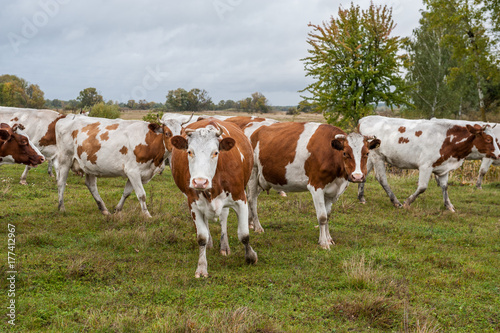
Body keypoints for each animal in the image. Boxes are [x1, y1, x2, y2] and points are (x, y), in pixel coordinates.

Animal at [55, 115, 184, 217]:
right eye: (167, 133)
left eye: (182, 134)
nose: (180, 147)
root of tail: (66, 117)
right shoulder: (133, 171)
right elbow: (141, 195)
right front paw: (147, 215)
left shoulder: (136, 174)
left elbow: (127, 193)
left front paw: (117, 209)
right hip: (65, 159)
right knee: (61, 182)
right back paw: (61, 207)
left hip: (90, 164)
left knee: (91, 185)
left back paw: (104, 210)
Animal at [171, 118, 258, 276]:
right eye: (189, 151)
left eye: (215, 152)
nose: (200, 182)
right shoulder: (193, 203)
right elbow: (201, 237)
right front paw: (201, 267)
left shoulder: (240, 199)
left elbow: (244, 234)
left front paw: (250, 257)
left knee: (223, 218)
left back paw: (224, 246)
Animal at [246, 120, 378, 248]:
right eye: (345, 153)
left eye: (367, 153)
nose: (357, 177)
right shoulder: (316, 186)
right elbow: (322, 216)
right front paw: (323, 243)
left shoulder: (332, 191)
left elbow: (328, 215)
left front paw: (329, 239)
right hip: (253, 174)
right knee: (252, 200)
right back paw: (258, 227)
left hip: (262, 179)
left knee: (250, 197)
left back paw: (250, 224)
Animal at [356, 115, 500, 211]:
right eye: (488, 139)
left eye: (494, 138)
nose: (499, 154)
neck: (447, 140)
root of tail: (365, 119)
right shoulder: (426, 166)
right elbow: (422, 187)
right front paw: (408, 202)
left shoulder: (443, 166)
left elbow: (445, 187)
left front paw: (449, 206)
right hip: (378, 156)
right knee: (381, 179)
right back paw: (395, 201)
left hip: (368, 156)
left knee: (364, 174)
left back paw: (361, 198)